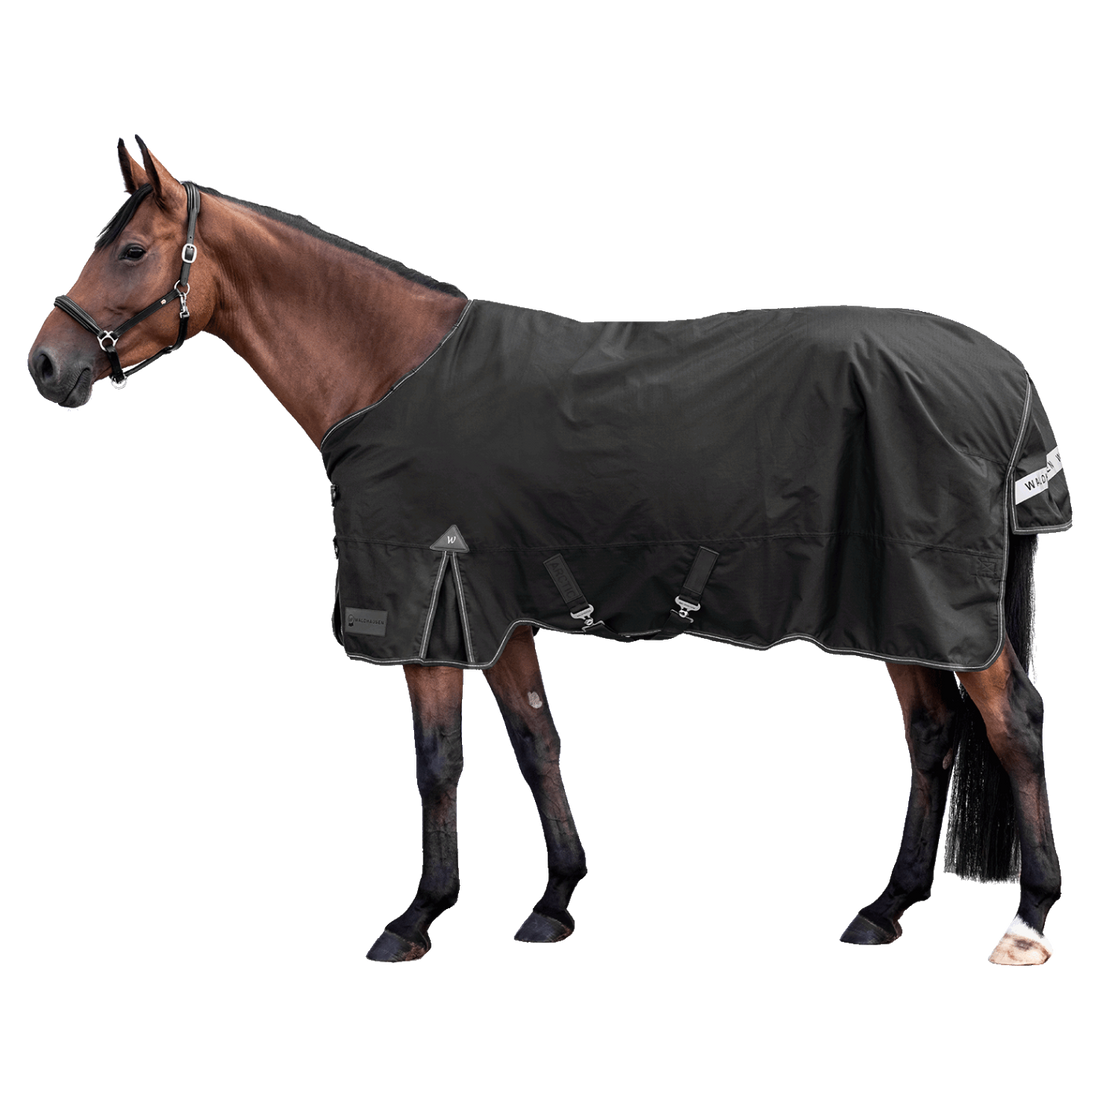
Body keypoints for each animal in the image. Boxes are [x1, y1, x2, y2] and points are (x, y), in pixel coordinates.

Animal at [26, 134, 1069, 968]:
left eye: (130, 249)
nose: (44, 365)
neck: (389, 371)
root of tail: (1007, 375)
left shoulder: (429, 610)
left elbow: (438, 763)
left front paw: (416, 919)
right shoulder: (498, 608)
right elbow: (536, 743)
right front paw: (556, 901)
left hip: (937, 601)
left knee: (1011, 725)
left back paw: (1028, 922)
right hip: (900, 603)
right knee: (931, 735)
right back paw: (885, 908)